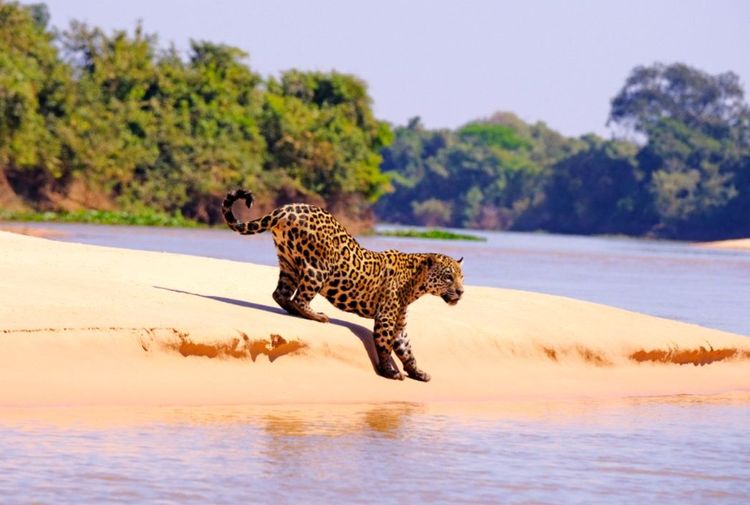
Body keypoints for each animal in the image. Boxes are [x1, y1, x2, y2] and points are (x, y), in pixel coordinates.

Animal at [221, 189, 465, 382]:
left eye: (462, 277)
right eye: (448, 277)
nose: (461, 292)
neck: (416, 282)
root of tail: (287, 208)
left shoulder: (399, 325)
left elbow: (407, 350)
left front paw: (418, 372)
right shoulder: (386, 318)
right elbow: (385, 346)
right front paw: (390, 372)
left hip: (288, 261)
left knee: (280, 294)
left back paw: (297, 311)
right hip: (317, 268)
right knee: (300, 298)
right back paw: (318, 316)